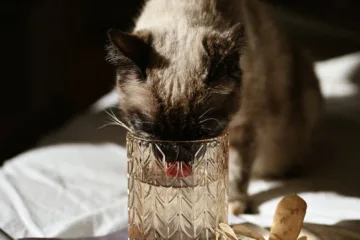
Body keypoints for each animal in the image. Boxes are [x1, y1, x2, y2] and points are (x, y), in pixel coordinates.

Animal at [105, 0, 322, 215]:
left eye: (204, 132)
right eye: (149, 130)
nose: (176, 160)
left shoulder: (244, 128)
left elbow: (237, 172)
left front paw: (235, 205)